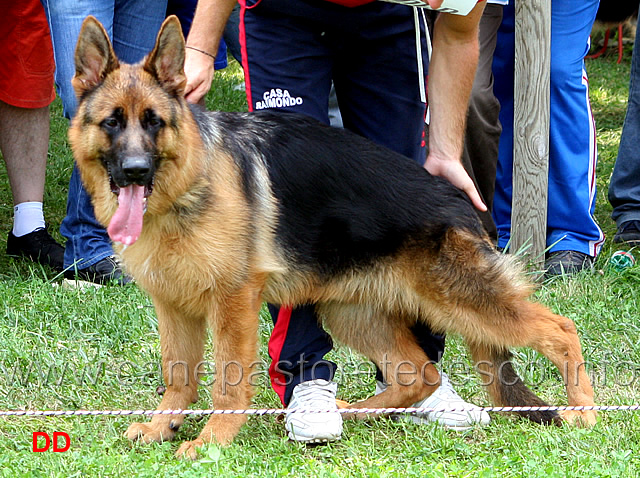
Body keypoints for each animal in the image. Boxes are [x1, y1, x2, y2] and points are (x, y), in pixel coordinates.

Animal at [70, 15, 596, 460]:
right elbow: (176, 374)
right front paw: (163, 426)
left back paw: (585, 411)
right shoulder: (173, 306)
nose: (135, 171)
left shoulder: (233, 302)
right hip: (350, 312)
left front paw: (212, 442)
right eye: (112, 122)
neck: (184, 187)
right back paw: (353, 412)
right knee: (419, 372)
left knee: (560, 329)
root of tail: (462, 203)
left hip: (462, 302)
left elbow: (227, 383)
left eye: (154, 121)